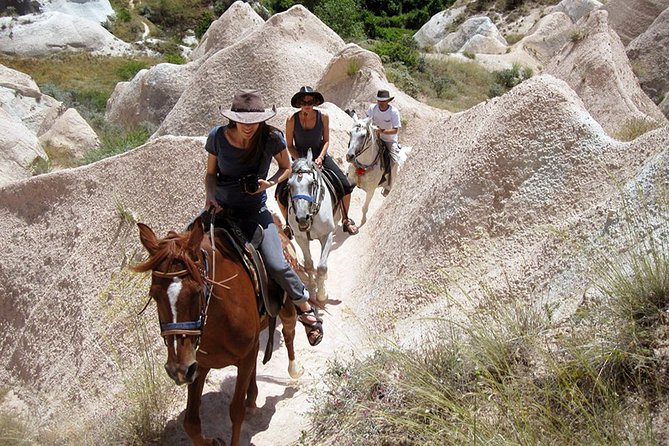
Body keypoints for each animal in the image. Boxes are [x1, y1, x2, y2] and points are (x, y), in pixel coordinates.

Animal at [133, 216, 300, 446]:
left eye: (196, 291)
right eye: (154, 295)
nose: (177, 369)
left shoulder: (241, 357)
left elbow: (236, 411)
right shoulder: (198, 367)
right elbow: (191, 423)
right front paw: (212, 441)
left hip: (286, 305)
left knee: (289, 330)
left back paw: (294, 369)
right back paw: (252, 397)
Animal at [288, 151, 340, 304]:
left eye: (312, 184)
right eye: (289, 185)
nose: (302, 218)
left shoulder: (327, 235)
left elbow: (322, 267)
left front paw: (322, 294)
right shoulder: (300, 238)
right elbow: (309, 265)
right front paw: (312, 289)